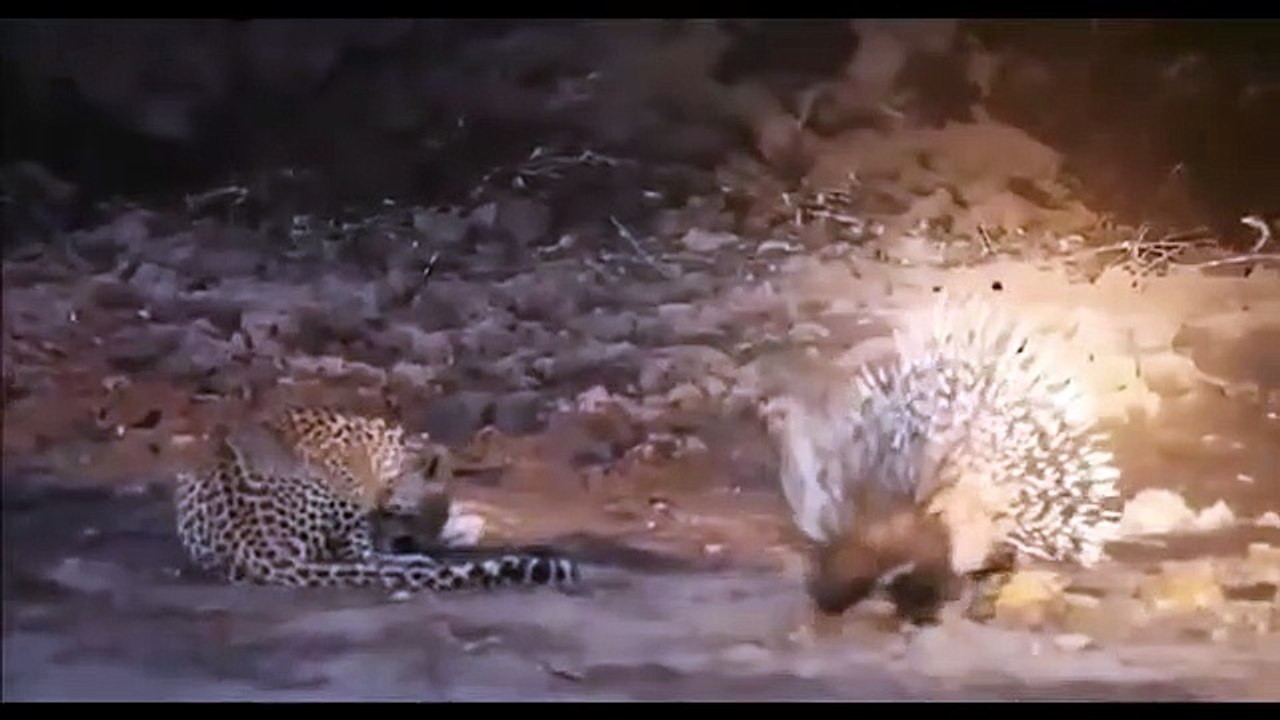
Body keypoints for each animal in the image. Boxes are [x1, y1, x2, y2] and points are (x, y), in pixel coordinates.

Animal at [173, 406, 580, 591]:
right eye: (412, 517)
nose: (413, 544)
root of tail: (255, 548)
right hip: (344, 502)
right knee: (360, 557)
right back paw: (416, 562)